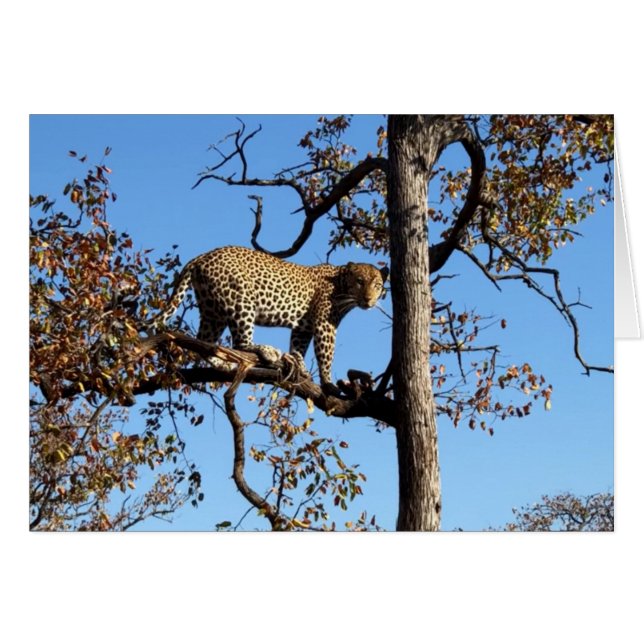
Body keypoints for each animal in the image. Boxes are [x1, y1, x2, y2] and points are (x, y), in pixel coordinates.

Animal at [149, 246, 388, 394]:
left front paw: (300, 367)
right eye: (360, 281)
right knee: (240, 343)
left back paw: (223, 364)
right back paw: (266, 351)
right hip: (241, 300)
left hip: (212, 311)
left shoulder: (304, 327)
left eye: (377, 285)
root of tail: (203, 256)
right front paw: (328, 383)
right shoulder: (325, 325)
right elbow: (326, 355)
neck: (341, 285)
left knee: (205, 341)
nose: (369, 299)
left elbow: (298, 347)